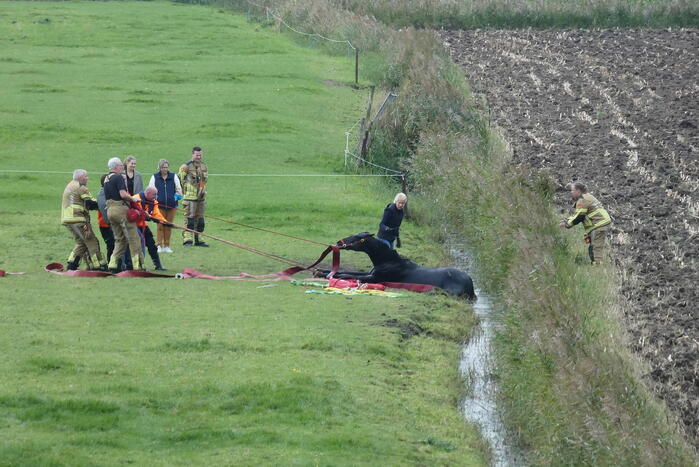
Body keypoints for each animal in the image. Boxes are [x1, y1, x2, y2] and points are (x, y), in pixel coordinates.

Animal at [317, 232, 476, 301]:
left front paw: (327, 275)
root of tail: (470, 283)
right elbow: (347, 271)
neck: (388, 261)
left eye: (357, 238)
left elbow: (348, 275)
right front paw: (320, 271)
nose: (338, 242)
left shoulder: (374, 278)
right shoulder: (370, 273)